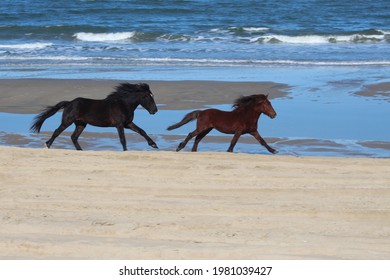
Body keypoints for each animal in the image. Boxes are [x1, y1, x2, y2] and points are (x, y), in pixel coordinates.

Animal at [30, 82, 158, 151]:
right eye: (148, 97)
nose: (155, 110)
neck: (123, 104)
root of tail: (69, 103)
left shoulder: (128, 124)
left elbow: (141, 131)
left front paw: (153, 145)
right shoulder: (120, 125)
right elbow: (123, 139)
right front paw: (125, 151)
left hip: (81, 124)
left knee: (74, 137)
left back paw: (81, 150)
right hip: (67, 121)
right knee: (57, 132)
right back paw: (47, 145)